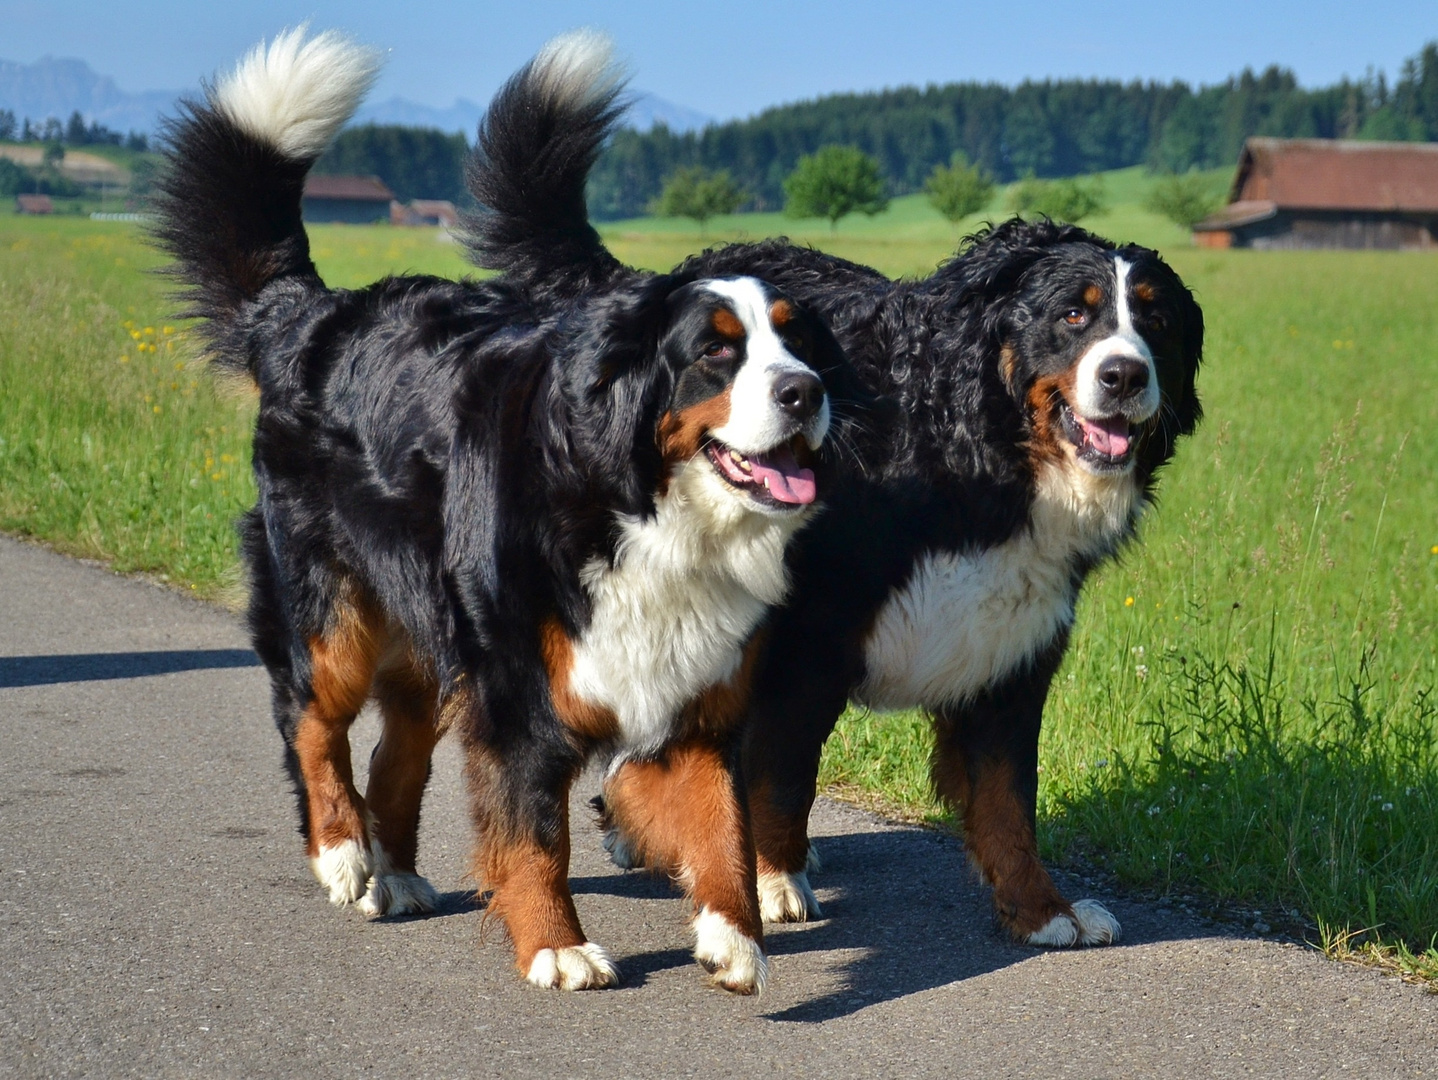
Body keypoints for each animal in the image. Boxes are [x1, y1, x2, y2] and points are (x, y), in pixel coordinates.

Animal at [154, 25, 874, 995]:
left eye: (799, 343)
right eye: (716, 355)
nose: (805, 392)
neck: (643, 510)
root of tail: (313, 316)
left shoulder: (695, 692)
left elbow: (720, 820)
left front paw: (734, 935)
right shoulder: (518, 690)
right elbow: (535, 831)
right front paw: (556, 945)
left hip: (428, 636)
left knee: (397, 751)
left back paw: (398, 874)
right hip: (333, 610)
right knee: (314, 723)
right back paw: (344, 854)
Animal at [465, 42, 1207, 949]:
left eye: (1157, 322)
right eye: (1074, 314)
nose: (1126, 375)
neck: (971, 447)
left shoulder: (1011, 652)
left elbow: (1008, 803)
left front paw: (1043, 909)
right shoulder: (808, 638)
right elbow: (784, 773)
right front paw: (773, 880)